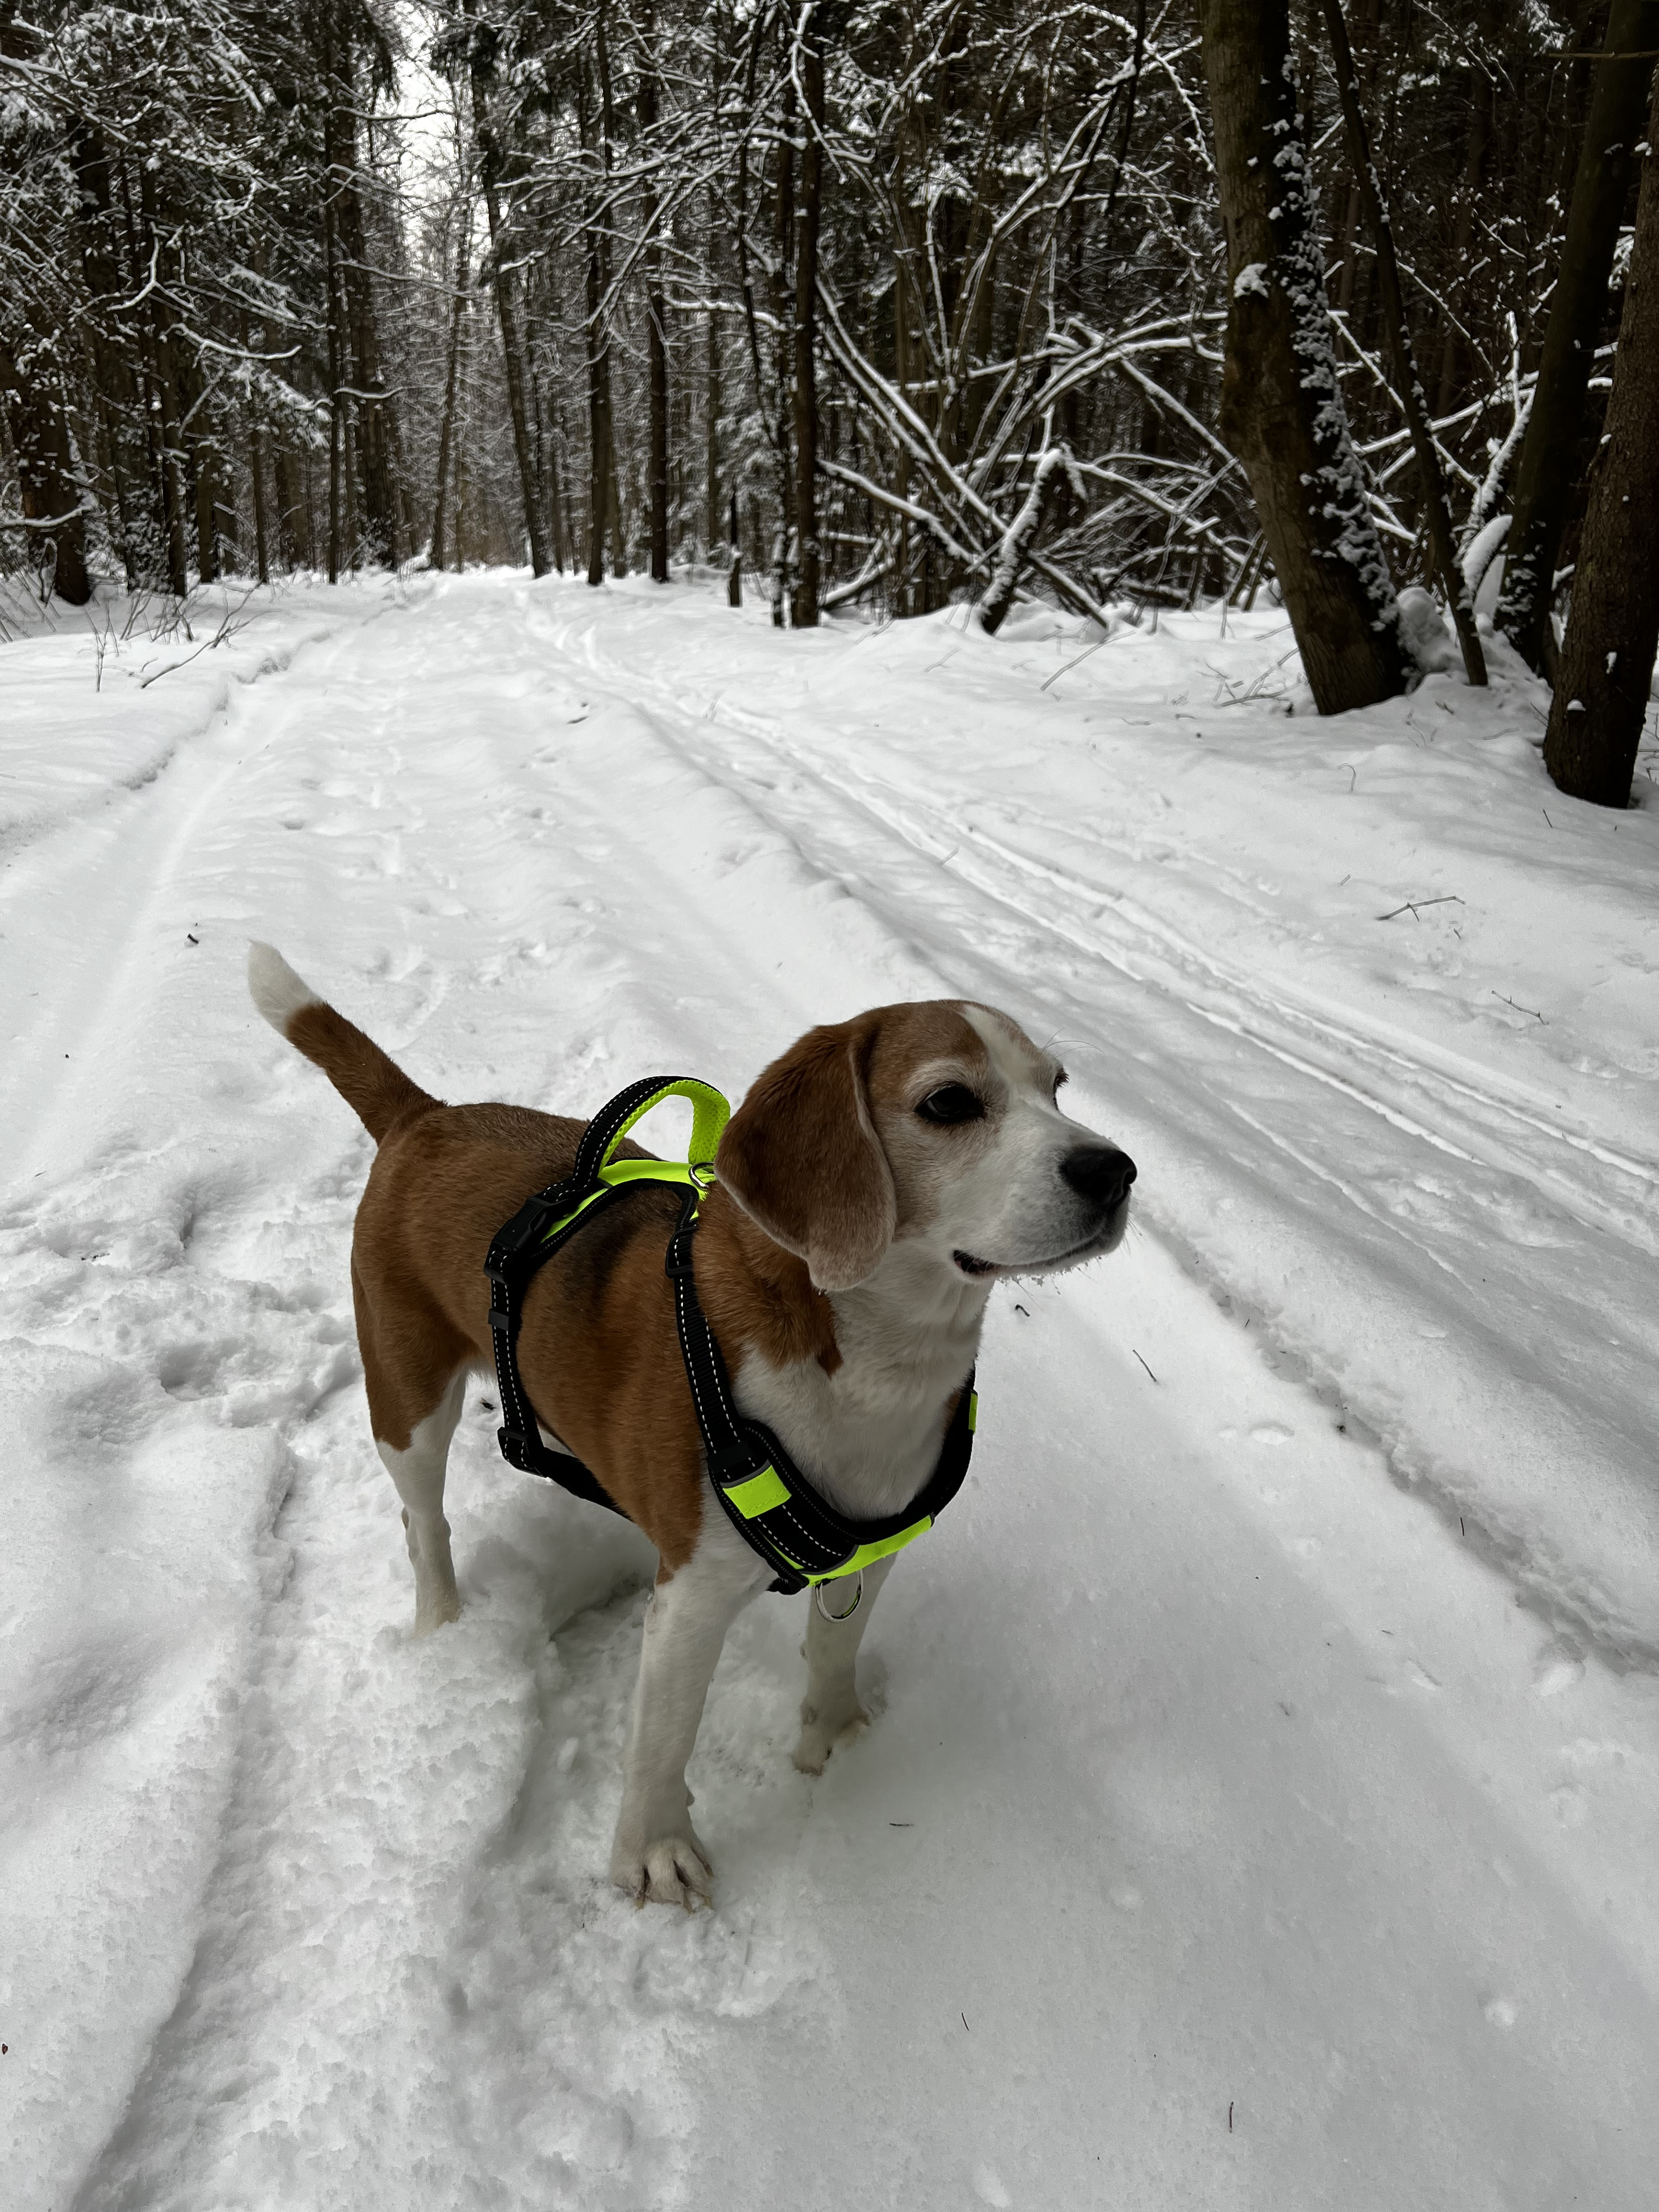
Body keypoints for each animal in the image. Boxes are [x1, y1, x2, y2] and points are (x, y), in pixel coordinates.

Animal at [250, 946, 1141, 1902]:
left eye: (1057, 1087)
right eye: (948, 1103)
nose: (1116, 1170)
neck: (874, 1359)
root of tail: (427, 1115)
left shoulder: (874, 1553)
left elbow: (835, 1651)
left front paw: (837, 1739)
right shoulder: (693, 1598)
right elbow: (664, 1738)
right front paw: (653, 1849)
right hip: (408, 1404)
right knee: (425, 1524)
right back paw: (443, 1624)